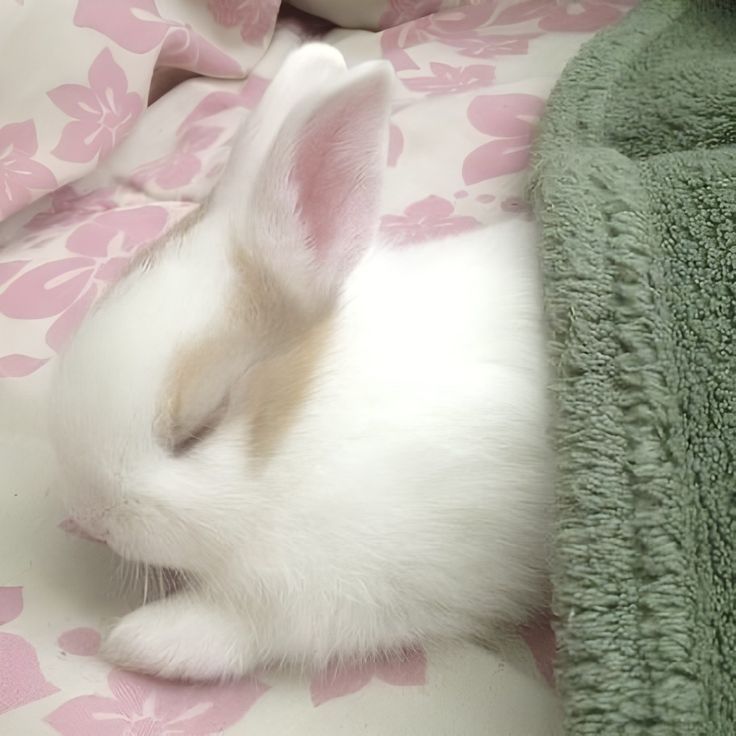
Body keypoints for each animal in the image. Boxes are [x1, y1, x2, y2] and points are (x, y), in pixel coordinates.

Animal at [47, 43, 552, 680]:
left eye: (201, 428)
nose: (92, 520)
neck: (311, 430)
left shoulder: (359, 577)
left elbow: (257, 620)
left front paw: (143, 641)